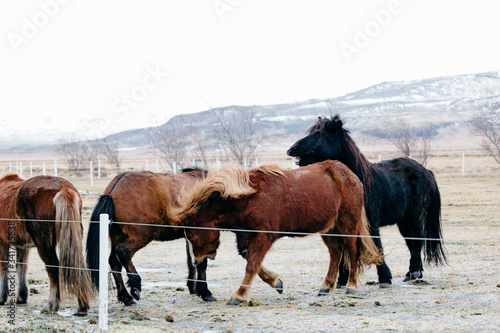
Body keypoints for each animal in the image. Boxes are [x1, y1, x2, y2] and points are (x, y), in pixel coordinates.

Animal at [0, 174, 93, 314]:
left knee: (53, 268)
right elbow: (22, 266)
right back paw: (82, 306)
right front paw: (21, 296)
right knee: (77, 266)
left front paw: (2, 297)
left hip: (44, 245)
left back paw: (51, 305)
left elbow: (4, 267)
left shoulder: (2, 242)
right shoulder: (22, 246)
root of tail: (63, 188)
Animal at [85, 167, 217, 304]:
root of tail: (113, 191)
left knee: (114, 261)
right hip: (142, 236)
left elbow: (192, 262)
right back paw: (135, 285)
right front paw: (205, 292)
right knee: (123, 252)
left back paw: (125, 296)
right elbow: (202, 262)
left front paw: (193, 287)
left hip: (118, 236)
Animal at [174, 160, 380, 304]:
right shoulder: (247, 235)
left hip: (348, 224)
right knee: (335, 252)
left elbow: (252, 263)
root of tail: (348, 174)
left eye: (192, 235)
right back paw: (326, 286)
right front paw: (276, 282)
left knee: (352, 251)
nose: (196, 261)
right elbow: (251, 260)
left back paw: (351, 286)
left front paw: (239, 296)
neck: (249, 197)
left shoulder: (263, 236)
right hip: (328, 229)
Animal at [288, 114, 448, 286]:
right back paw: (413, 273)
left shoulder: (370, 223)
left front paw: (384, 278)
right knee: (411, 242)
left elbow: (376, 246)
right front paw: (342, 280)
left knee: (418, 239)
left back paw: (414, 271)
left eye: (323, 136)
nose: (292, 149)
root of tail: (426, 171)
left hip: (415, 216)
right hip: (403, 221)